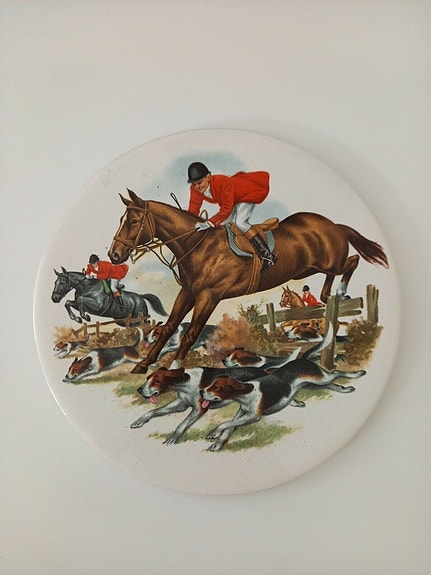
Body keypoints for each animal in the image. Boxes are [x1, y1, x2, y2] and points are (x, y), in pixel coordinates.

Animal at [108, 189, 388, 372]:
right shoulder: (187, 292)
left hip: (330, 262)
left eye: (134, 221)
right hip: (309, 269)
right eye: (121, 220)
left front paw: (175, 365)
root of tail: (333, 225)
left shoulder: (209, 295)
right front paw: (144, 363)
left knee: (352, 261)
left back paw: (340, 292)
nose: (114, 255)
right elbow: (168, 327)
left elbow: (190, 333)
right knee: (336, 272)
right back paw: (327, 294)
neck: (197, 245)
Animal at [130, 360, 303, 445]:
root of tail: (262, 370)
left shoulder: (198, 409)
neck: (186, 382)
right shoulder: (181, 404)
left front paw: (172, 439)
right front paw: (139, 421)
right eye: (147, 378)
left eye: (157, 380)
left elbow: (181, 425)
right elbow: (152, 412)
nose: (139, 389)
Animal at [201, 325, 366, 451]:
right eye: (211, 384)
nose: (201, 391)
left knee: (336, 373)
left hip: (321, 378)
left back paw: (357, 374)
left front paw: (214, 432)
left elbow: (225, 423)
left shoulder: (253, 416)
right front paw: (217, 443)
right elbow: (228, 427)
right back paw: (345, 389)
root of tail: (303, 359)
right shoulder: (242, 413)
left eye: (216, 387)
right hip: (314, 384)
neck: (246, 392)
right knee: (332, 384)